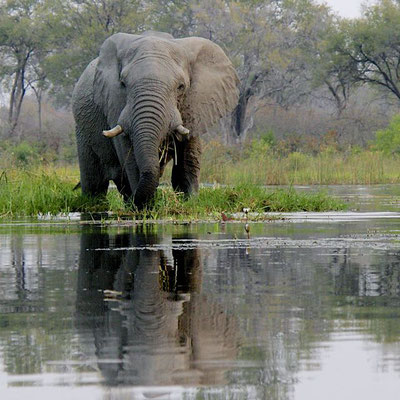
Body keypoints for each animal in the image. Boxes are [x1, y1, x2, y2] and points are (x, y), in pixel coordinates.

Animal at [72, 30, 238, 209]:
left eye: (181, 87)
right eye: (123, 84)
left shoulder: (193, 106)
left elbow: (187, 160)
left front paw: (189, 203)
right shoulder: (115, 105)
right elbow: (130, 158)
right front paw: (145, 209)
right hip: (82, 131)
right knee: (94, 183)